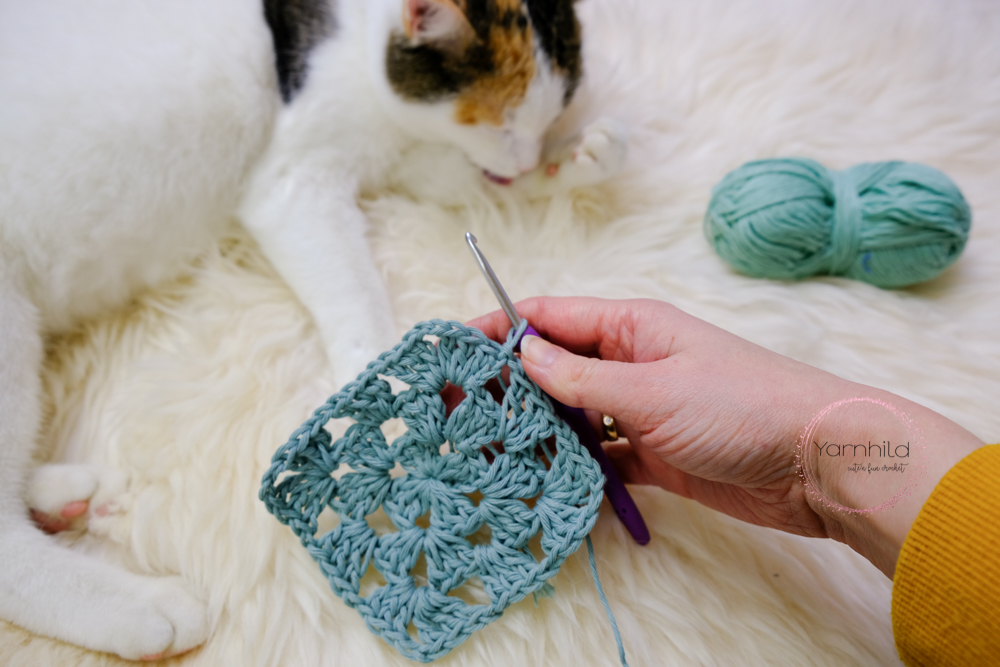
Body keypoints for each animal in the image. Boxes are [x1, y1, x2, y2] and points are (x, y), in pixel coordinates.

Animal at [0, 0, 624, 656]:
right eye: (500, 124)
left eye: (549, 114)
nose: (527, 155)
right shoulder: (294, 181)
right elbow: (359, 297)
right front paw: (386, 407)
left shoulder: (410, 153)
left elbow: (468, 180)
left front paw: (578, 159)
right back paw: (140, 610)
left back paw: (65, 497)